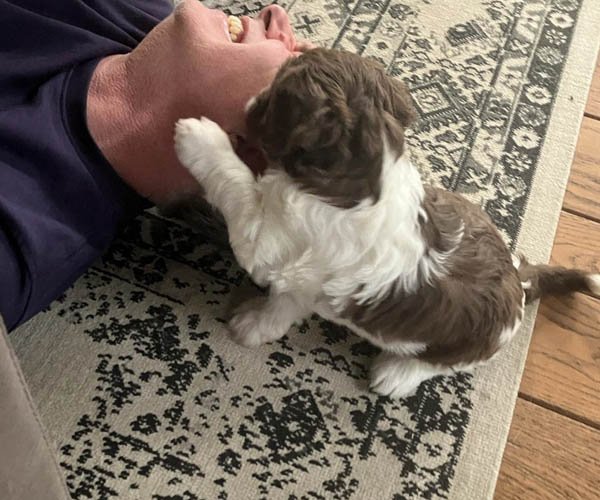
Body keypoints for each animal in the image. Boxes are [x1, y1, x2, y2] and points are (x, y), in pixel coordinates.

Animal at [173, 47, 599, 399]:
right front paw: (255, 324)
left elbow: (238, 186)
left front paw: (197, 135)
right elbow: (284, 306)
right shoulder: (301, 280)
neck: (361, 181)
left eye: (276, 94)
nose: (250, 99)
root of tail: (519, 279)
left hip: (459, 349)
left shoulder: (271, 240)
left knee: (435, 366)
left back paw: (395, 374)